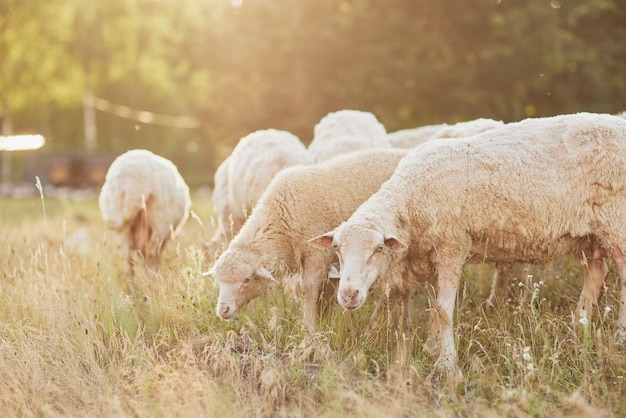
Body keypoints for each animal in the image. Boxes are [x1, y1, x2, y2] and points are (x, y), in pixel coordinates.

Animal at [202, 149, 410, 332]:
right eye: (218, 281)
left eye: (246, 280)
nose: (223, 310)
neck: (281, 217)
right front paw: (326, 320)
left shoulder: (318, 255)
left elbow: (309, 290)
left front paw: (309, 328)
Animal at [310, 112, 624, 370]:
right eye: (336, 248)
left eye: (377, 249)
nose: (348, 295)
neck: (411, 198)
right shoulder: (431, 254)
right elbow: (434, 306)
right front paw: (432, 348)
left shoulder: (450, 246)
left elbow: (443, 308)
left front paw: (446, 363)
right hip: (592, 233)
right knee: (597, 271)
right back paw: (579, 327)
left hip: (616, 222)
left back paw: (618, 338)